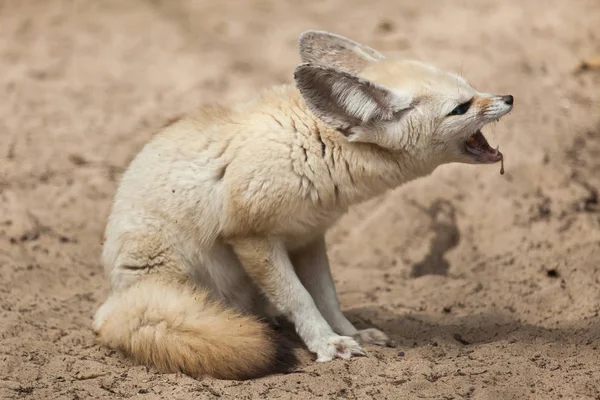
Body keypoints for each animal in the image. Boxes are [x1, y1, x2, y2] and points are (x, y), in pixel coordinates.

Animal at [91, 29, 512, 380]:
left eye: (471, 87)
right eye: (461, 107)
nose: (509, 97)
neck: (317, 145)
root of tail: (112, 304)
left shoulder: (309, 238)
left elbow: (327, 296)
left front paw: (350, 333)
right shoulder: (253, 237)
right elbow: (300, 298)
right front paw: (327, 343)